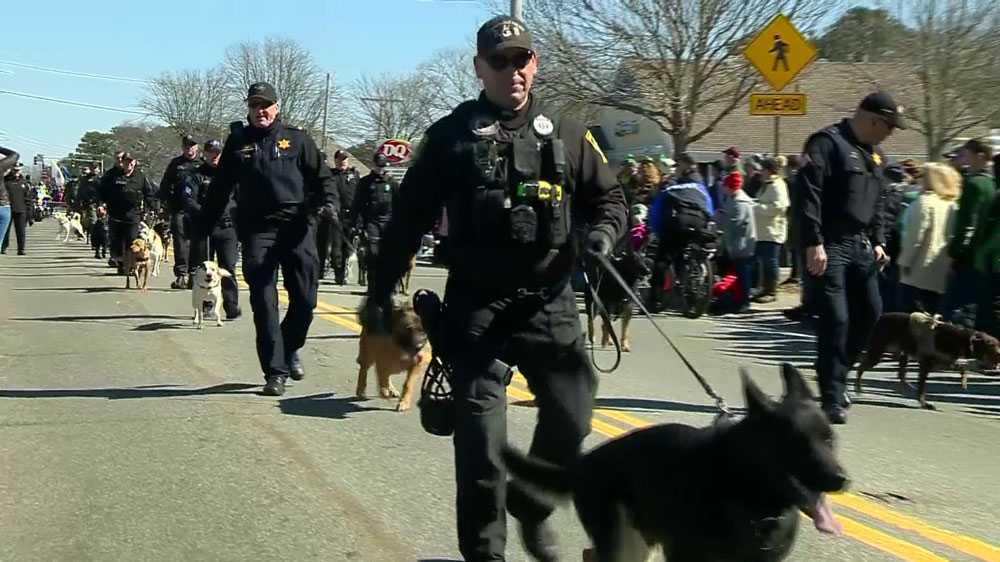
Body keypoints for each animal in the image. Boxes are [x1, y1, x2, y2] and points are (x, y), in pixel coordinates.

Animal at [852, 310, 1000, 406]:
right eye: (993, 349)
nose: (997, 366)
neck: (962, 340)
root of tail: (882, 317)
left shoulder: (945, 362)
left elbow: (963, 367)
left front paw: (964, 380)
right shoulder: (927, 364)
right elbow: (922, 387)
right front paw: (924, 402)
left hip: (903, 354)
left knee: (901, 375)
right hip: (878, 352)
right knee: (861, 368)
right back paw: (858, 388)